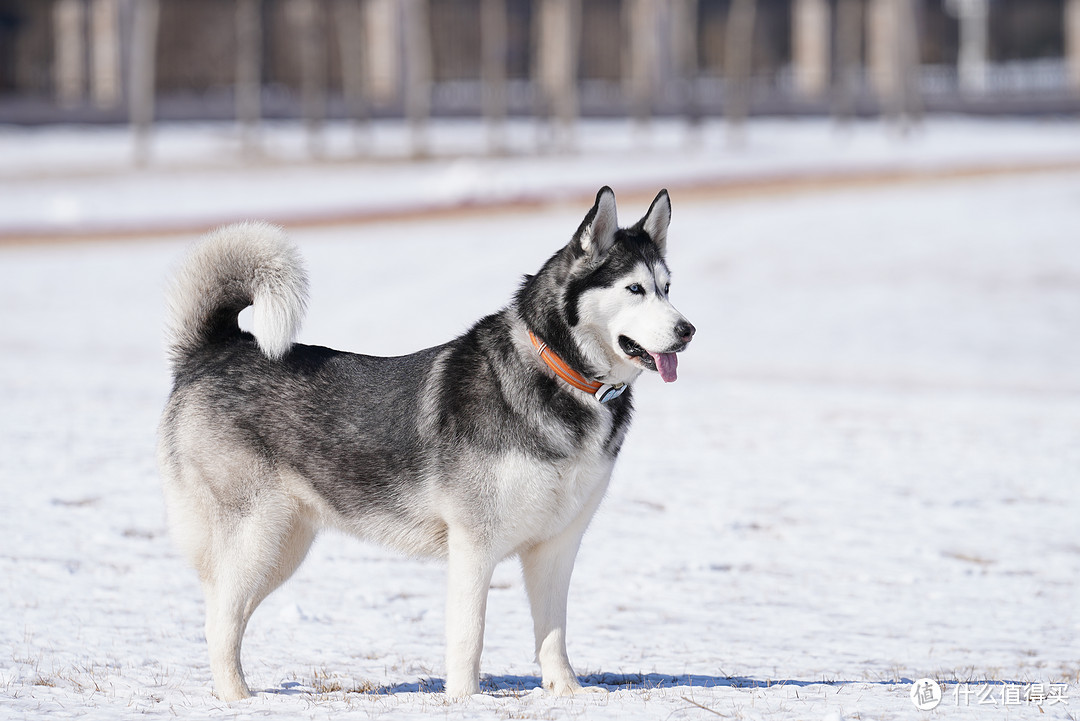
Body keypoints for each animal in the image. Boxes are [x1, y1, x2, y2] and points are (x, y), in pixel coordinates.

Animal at [157, 185, 695, 699]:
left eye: (667, 288)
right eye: (634, 288)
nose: (687, 330)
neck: (561, 376)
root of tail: (216, 348)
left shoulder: (556, 546)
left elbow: (553, 633)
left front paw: (567, 692)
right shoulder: (474, 544)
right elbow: (469, 635)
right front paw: (465, 700)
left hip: (282, 547)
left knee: (226, 613)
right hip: (256, 534)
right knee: (218, 620)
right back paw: (238, 698)